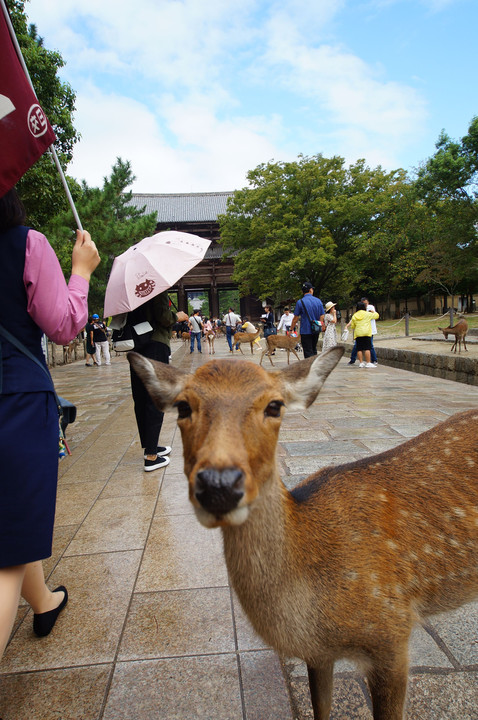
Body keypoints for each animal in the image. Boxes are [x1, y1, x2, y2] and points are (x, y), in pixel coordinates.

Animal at [126, 346, 478, 716]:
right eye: (183, 406)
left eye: (274, 405)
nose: (219, 485)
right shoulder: (318, 654)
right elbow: (320, 708)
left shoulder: (392, 635)